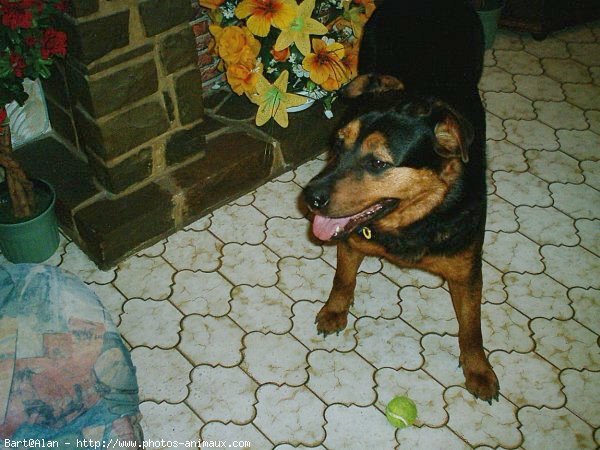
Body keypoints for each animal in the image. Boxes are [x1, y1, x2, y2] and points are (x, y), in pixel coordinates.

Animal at [302, 0, 500, 400]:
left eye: (377, 163)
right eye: (337, 145)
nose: (310, 198)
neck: (416, 218)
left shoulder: (467, 271)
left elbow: (471, 327)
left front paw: (478, 368)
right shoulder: (350, 240)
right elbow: (342, 279)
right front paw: (335, 310)